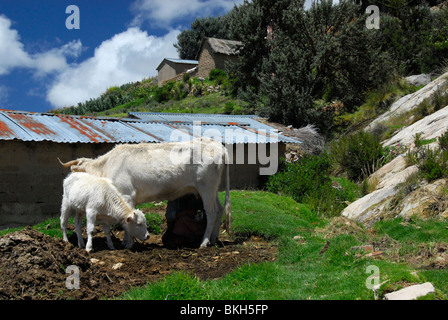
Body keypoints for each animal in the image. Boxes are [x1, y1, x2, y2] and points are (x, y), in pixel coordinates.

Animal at [59, 138, 231, 248]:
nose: (68, 181)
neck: (106, 166)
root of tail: (217, 145)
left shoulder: (126, 194)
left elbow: (126, 219)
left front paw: (128, 243)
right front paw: (126, 241)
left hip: (206, 188)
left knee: (212, 212)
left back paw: (204, 242)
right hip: (212, 189)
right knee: (220, 209)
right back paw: (213, 239)